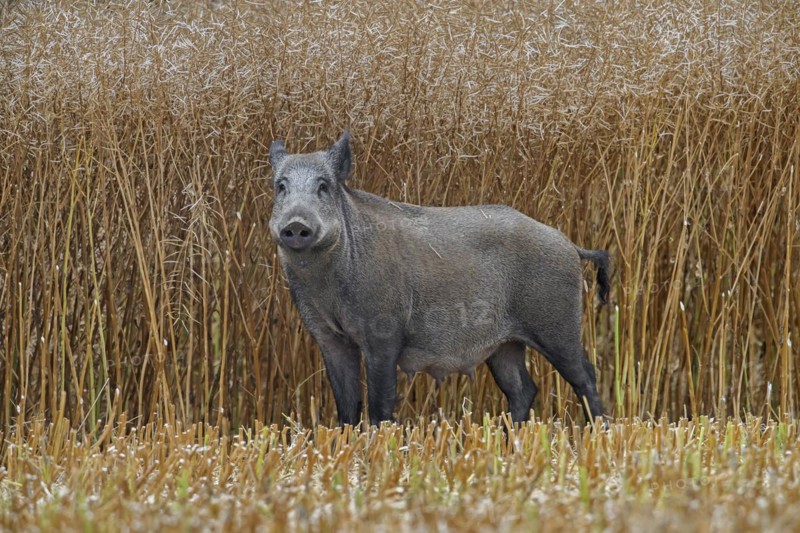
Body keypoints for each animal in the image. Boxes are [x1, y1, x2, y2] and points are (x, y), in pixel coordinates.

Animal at [269, 131, 609, 427]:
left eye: (323, 186)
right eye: (281, 186)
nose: (296, 224)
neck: (326, 282)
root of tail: (571, 245)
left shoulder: (384, 334)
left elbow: (380, 404)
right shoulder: (328, 337)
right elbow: (347, 406)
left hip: (558, 326)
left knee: (586, 377)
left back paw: (599, 430)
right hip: (505, 345)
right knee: (524, 389)